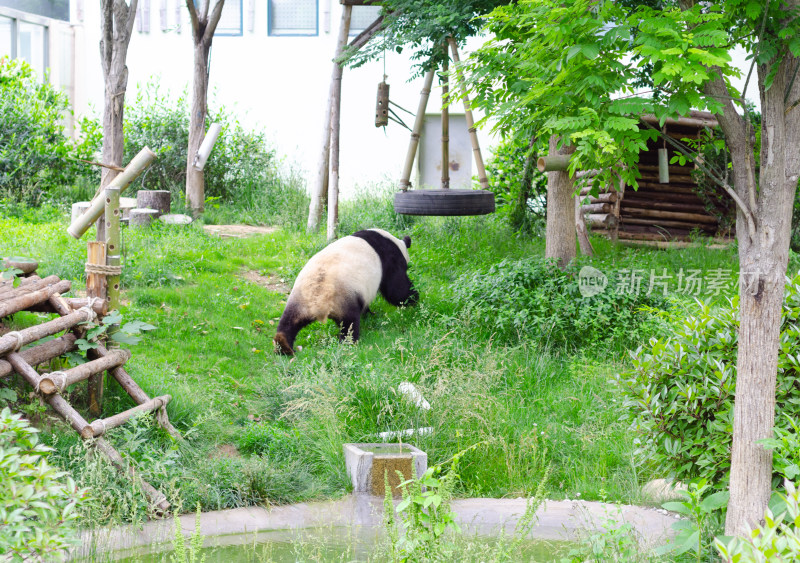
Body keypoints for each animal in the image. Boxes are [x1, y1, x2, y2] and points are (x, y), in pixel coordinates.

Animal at [274, 228, 416, 352]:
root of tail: (319, 302)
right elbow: (396, 289)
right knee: (349, 323)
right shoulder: (389, 257)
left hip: (300, 298)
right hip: (343, 297)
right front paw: (412, 300)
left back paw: (283, 346)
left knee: (289, 321)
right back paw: (348, 342)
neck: (394, 242)